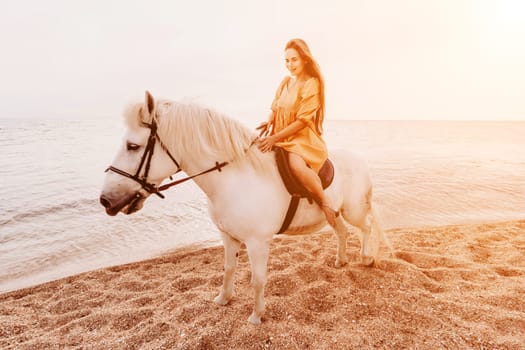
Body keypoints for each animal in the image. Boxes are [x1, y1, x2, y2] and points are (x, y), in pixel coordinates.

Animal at [99, 91, 388, 324]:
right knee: (343, 232)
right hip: (333, 213)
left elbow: (258, 279)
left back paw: (367, 258)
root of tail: (360, 160)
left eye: (132, 146)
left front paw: (257, 316)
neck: (234, 178)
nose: (105, 200)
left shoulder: (257, 242)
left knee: (367, 227)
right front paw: (223, 299)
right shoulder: (228, 236)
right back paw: (341, 260)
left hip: (353, 211)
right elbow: (228, 270)